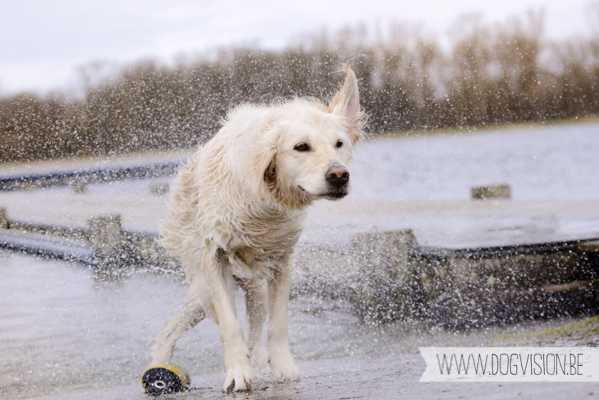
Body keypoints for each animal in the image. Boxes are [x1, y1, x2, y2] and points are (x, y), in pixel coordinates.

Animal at [150, 64, 366, 392]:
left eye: (339, 144)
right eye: (301, 147)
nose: (339, 175)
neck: (263, 202)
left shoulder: (282, 261)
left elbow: (277, 325)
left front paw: (283, 369)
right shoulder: (214, 258)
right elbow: (229, 326)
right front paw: (238, 374)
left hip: (255, 289)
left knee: (255, 328)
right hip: (202, 292)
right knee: (171, 325)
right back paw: (159, 368)